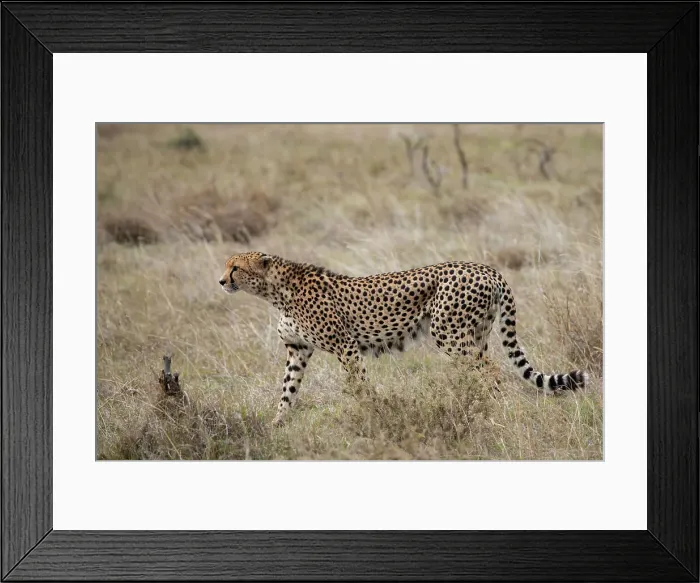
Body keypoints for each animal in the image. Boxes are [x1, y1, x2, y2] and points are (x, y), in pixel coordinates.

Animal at [219, 251, 588, 426]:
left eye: (235, 267)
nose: (221, 281)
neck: (276, 291)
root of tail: (487, 269)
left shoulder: (346, 346)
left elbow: (360, 386)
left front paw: (373, 415)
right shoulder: (298, 350)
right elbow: (288, 391)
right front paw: (277, 423)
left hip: (448, 332)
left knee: (492, 371)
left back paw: (493, 410)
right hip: (475, 334)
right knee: (482, 369)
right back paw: (478, 406)